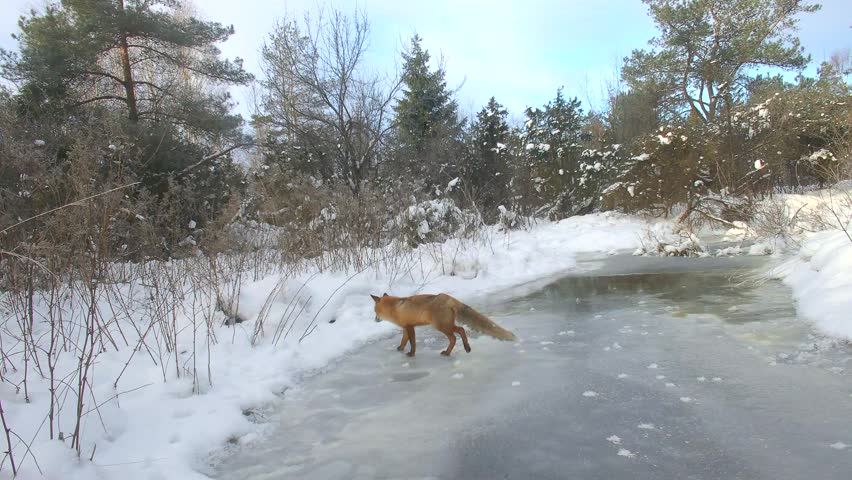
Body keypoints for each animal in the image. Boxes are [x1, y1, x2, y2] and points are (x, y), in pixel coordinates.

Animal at [371, 292, 517, 357]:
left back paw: (449, 352)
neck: (395, 308)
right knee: (460, 330)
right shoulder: (406, 327)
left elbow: (412, 343)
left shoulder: (409, 327)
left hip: (441, 326)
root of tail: (449, 298)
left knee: (456, 334)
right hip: (446, 325)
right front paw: (400, 349)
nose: (374, 320)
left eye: (375, 311)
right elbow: (404, 340)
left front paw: (411, 354)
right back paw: (466, 347)